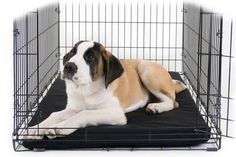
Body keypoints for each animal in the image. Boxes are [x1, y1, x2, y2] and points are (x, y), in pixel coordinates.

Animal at [25, 40, 185, 140]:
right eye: (72, 53)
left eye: (89, 57)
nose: (68, 66)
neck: (86, 90)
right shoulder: (72, 108)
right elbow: (54, 115)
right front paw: (36, 128)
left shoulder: (115, 113)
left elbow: (85, 114)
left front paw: (61, 126)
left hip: (145, 69)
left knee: (173, 102)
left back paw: (156, 107)